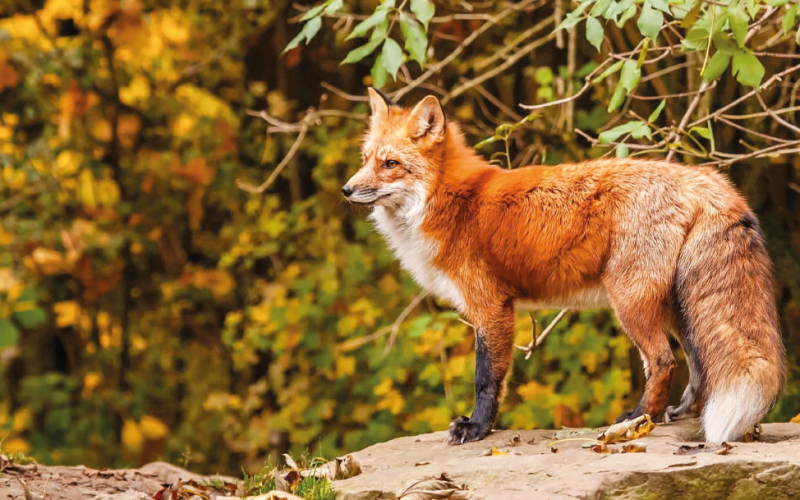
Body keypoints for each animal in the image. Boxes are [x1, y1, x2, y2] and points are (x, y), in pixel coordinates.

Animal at [340, 88, 784, 444]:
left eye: (390, 164)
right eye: (365, 159)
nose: (346, 189)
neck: (450, 202)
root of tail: (706, 177)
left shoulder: (491, 307)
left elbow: (487, 378)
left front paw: (478, 428)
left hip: (631, 301)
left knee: (663, 361)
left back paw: (638, 419)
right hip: (677, 306)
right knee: (697, 364)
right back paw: (677, 414)